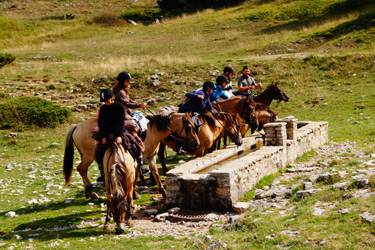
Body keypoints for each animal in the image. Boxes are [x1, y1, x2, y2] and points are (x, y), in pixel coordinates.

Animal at [63, 113, 201, 199]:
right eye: (189, 126)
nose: (197, 143)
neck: (151, 131)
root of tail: (77, 126)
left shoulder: (151, 156)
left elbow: (155, 172)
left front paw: (163, 191)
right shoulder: (140, 157)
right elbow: (137, 174)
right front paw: (135, 193)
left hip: (85, 155)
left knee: (83, 170)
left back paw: (89, 193)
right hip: (89, 156)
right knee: (81, 168)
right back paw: (89, 191)